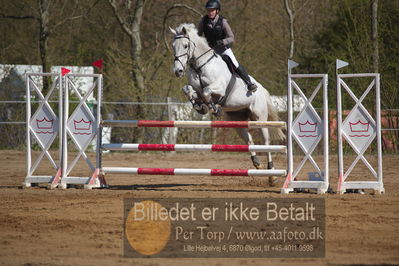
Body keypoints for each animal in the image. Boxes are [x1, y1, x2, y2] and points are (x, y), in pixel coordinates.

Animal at [170, 22, 286, 186]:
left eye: (185, 46)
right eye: (173, 46)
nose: (178, 71)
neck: (200, 66)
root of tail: (262, 90)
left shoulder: (219, 88)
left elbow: (206, 91)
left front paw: (213, 108)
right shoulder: (194, 87)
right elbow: (188, 89)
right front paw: (200, 106)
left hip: (260, 118)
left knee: (266, 142)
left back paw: (272, 176)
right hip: (237, 120)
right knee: (249, 139)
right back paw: (257, 163)